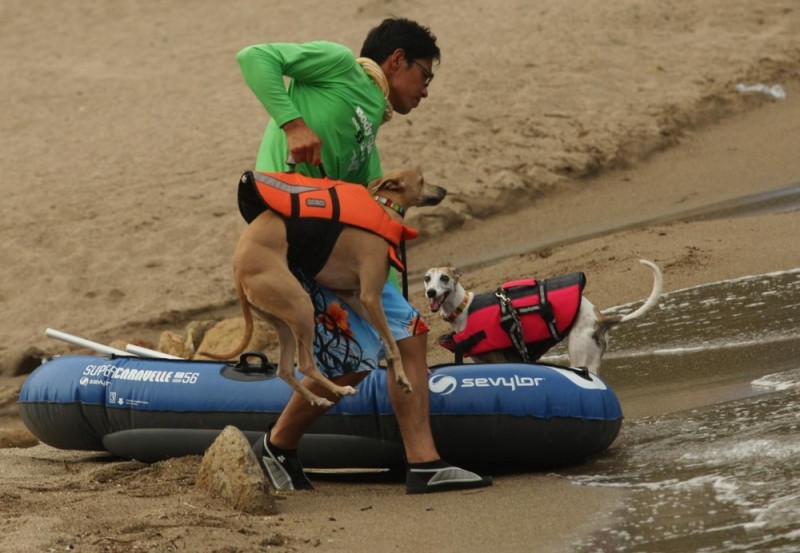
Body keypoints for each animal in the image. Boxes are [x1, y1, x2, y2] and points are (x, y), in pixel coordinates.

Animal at [203, 170, 446, 408]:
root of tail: (237, 270)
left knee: (285, 370)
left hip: (284, 322)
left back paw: (318, 398)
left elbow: (389, 341)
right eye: (422, 180)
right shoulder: (370, 296)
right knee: (305, 366)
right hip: (302, 307)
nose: (444, 190)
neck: (384, 206)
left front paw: (401, 376)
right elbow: (392, 344)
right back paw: (339, 389)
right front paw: (402, 376)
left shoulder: (353, 297)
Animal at [418, 260, 664, 374]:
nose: (431, 293)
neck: (463, 308)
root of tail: (600, 319)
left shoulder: (502, 360)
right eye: (427, 278)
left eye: (444, 278)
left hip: (580, 354)